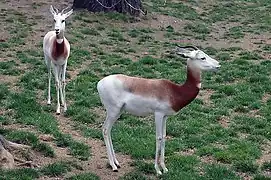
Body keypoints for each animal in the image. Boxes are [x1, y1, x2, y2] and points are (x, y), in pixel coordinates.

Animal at [98, 45, 221, 175]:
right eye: (202, 57)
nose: (218, 65)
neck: (174, 91)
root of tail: (99, 83)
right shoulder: (158, 114)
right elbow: (159, 137)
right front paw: (157, 170)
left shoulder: (165, 116)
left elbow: (164, 136)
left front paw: (164, 168)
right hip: (113, 111)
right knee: (105, 130)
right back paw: (113, 165)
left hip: (118, 112)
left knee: (109, 131)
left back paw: (116, 162)